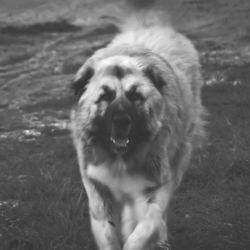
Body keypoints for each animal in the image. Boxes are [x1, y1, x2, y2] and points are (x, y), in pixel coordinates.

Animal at [70, 0, 205, 249]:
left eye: (135, 96)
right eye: (105, 96)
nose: (122, 121)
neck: (120, 159)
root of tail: (148, 25)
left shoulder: (155, 186)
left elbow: (147, 226)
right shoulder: (98, 191)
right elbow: (108, 232)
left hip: (181, 154)